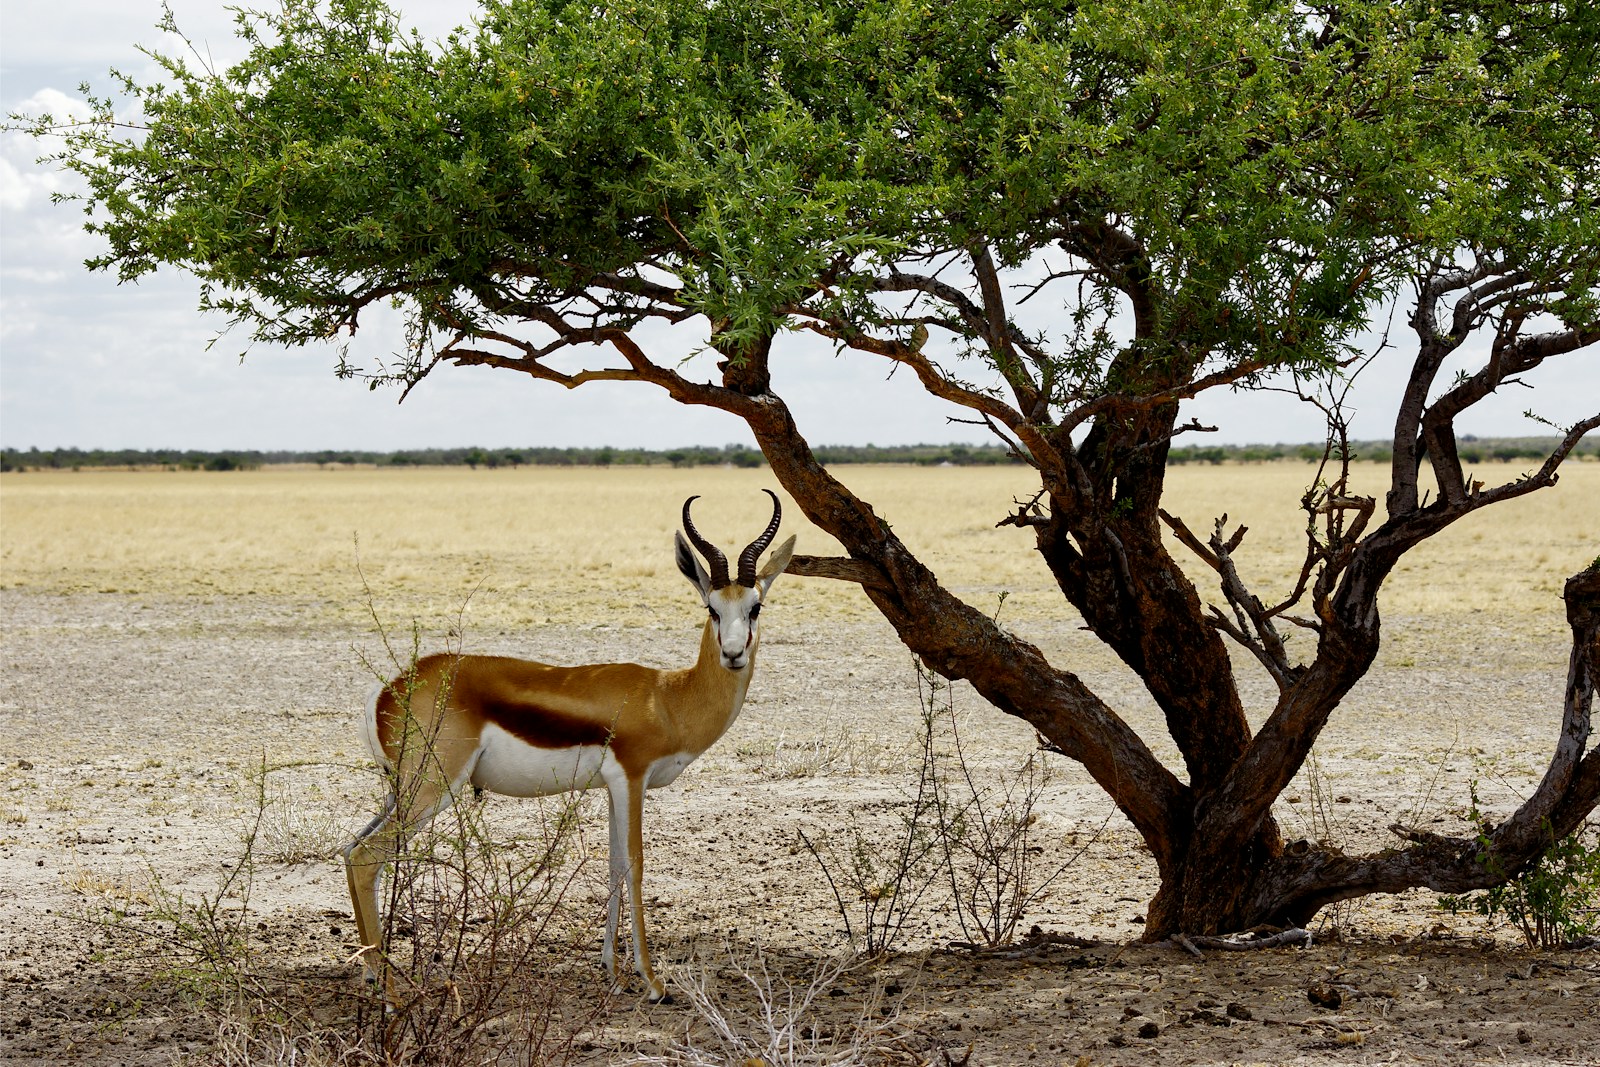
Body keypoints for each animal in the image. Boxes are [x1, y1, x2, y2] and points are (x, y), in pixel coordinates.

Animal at [344, 491, 796, 1003]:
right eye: (712, 609)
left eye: (755, 607)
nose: (733, 654)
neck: (667, 697)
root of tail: (387, 691)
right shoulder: (631, 779)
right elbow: (635, 864)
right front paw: (653, 981)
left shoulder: (613, 787)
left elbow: (614, 865)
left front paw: (613, 971)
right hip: (432, 788)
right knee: (367, 856)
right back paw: (390, 992)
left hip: (400, 789)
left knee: (351, 848)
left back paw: (369, 973)